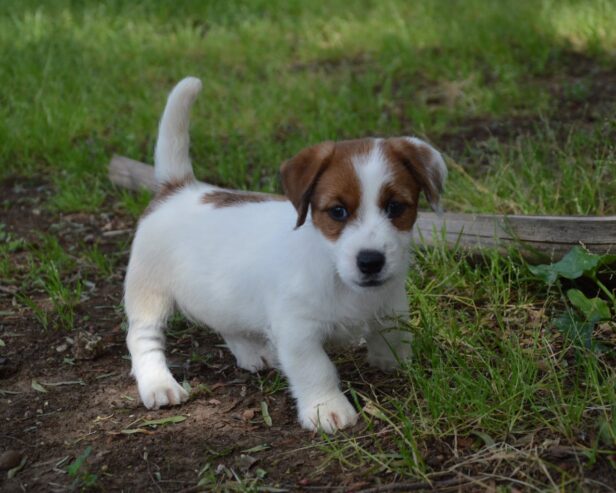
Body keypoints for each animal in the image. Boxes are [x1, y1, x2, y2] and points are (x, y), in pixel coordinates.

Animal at [124, 76, 448, 430]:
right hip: (148, 292)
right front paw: (326, 408)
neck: (333, 270)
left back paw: (253, 353)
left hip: (219, 294)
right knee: (142, 338)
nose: (371, 261)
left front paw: (396, 364)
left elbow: (394, 336)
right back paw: (158, 384)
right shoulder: (298, 331)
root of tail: (178, 189)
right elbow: (316, 370)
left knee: (227, 324)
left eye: (395, 207)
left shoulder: (392, 305)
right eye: (337, 212)